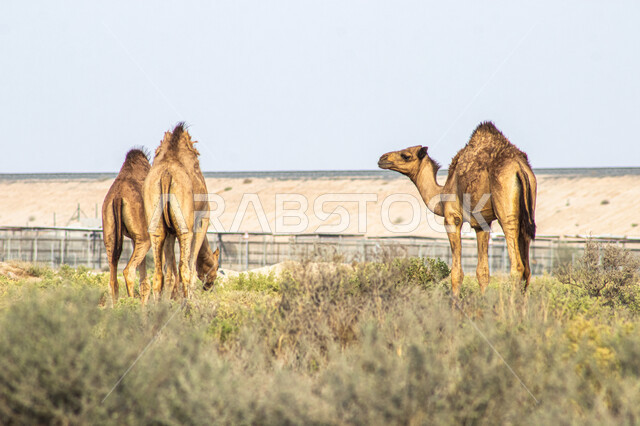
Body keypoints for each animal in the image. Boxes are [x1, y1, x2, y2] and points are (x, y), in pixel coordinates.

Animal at [143, 123, 212, 301]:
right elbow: (191, 267)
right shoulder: (202, 221)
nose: (210, 284)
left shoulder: (169, 232)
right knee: (185, 270)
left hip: (156, 228)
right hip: (185, 228)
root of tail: (166, 174)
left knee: (158, 274)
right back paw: (187, 306)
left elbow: (169, 272)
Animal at [378, 121, 536, 296]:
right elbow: (482, 272)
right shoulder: (482, 224)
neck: (442, 193)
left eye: (405, 155)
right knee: (527, 270)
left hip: (506, 207)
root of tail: (519, 168)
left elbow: (456, 273)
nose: (382, 158)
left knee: (517, 266)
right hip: (527, 212)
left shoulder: (452, 217)